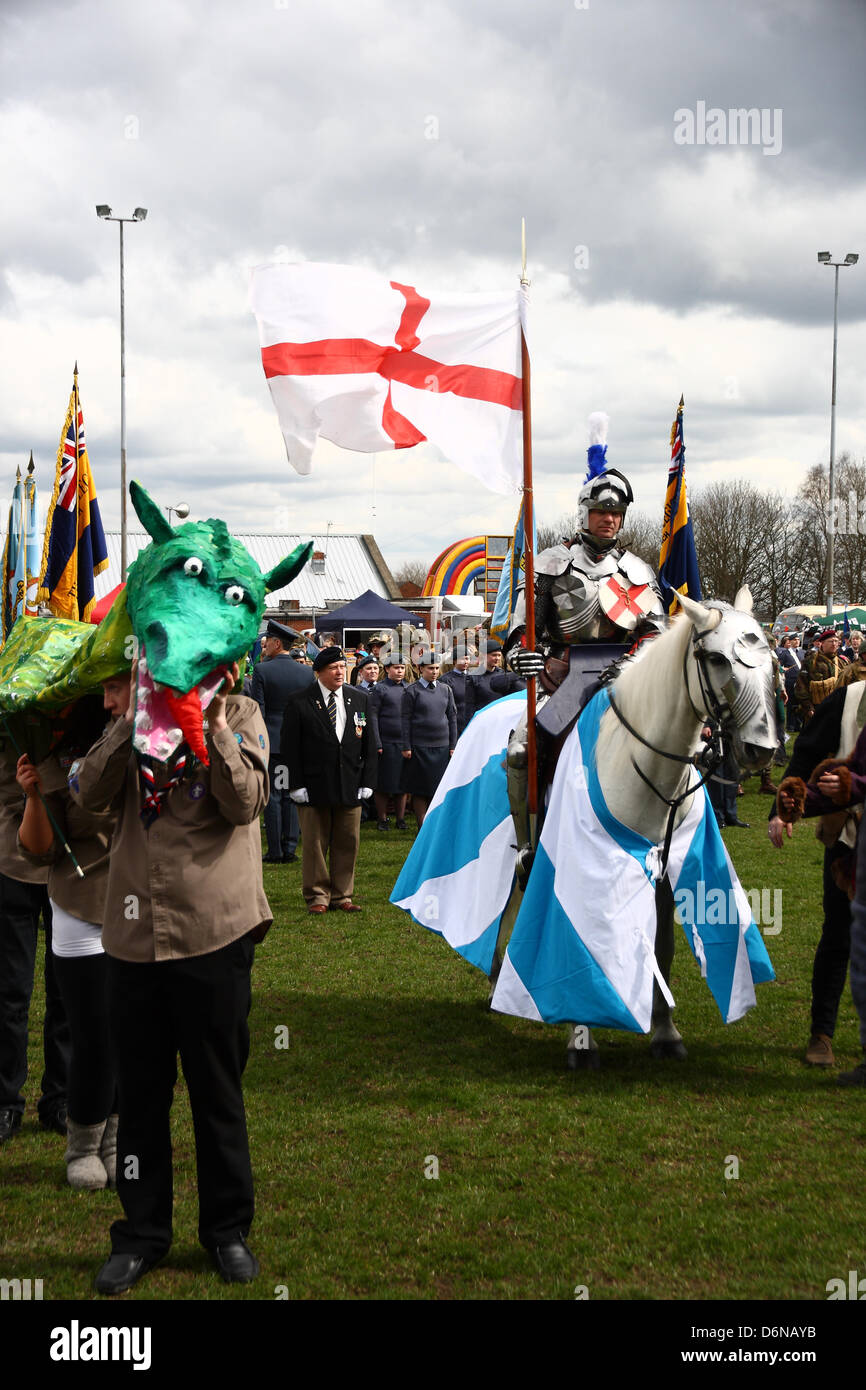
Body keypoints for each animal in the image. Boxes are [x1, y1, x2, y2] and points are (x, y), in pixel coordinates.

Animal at [494, 581, 778, 1067]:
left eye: (771, 659)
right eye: (716, 659)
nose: (762, 748)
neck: (640, 762)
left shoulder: (666, 869)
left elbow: (663, 947)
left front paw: (665, 1032)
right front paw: (581, 1039)